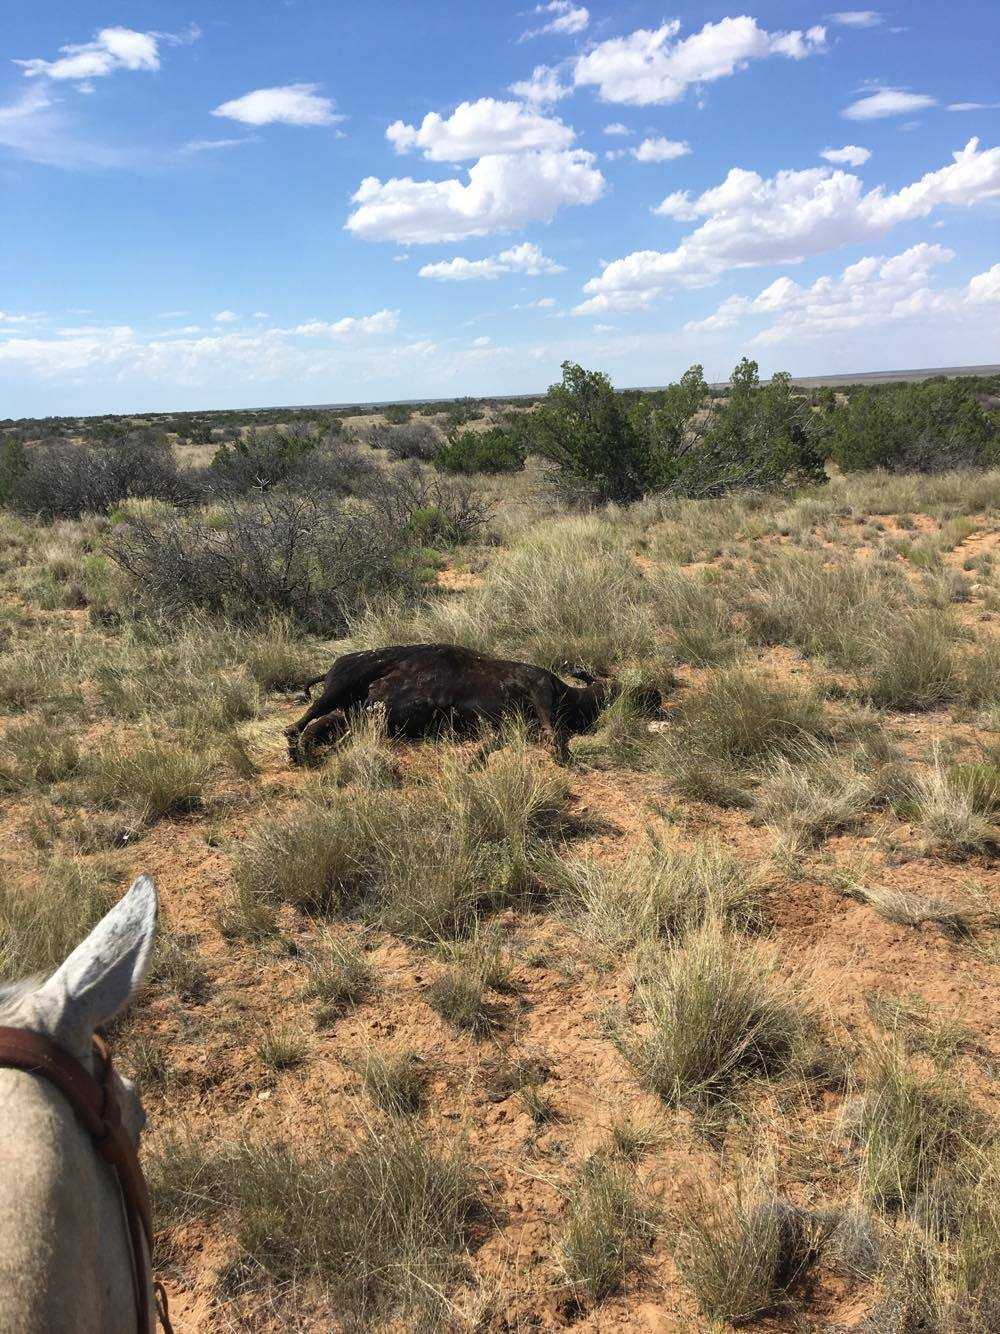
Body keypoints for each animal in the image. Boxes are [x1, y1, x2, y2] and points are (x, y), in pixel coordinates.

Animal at [284, 643, 661, 763]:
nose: (653, 692)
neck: (569, 697)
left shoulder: (506, 723)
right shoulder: (538, 683)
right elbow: (552, 731)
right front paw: (556, 749)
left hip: (355, 710)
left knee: (324, 725)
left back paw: (307, 749)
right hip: (346, 679)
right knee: (302, 720)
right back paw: (294, 747)